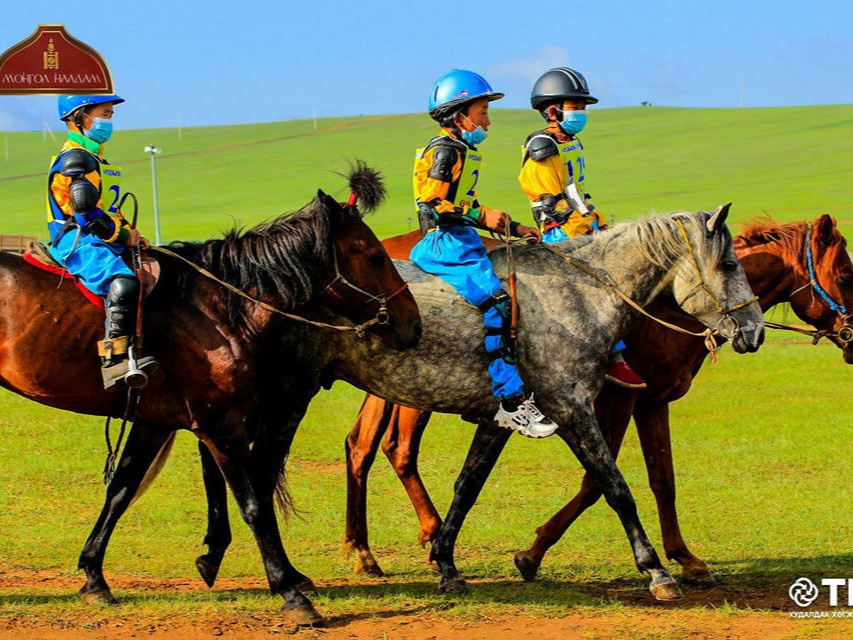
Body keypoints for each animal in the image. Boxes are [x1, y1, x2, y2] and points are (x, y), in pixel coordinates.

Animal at [0, 168, 420, 628]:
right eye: (374, 256)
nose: (413, 322)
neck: (218, 309)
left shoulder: (154, 422)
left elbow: (121, 491)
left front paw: (94, 577)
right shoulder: (222, 426)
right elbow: (254, 504)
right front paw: (290, 592)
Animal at [340, 214, 852, 580]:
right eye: (846, 274)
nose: (755, 333)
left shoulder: (650, 401)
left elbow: (662, 479)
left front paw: (686, 558)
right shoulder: (608, 403)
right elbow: (600, 483)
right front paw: (534, 553)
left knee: (365, 444)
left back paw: (370, 549)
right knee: (392, 448)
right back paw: (391, 546)